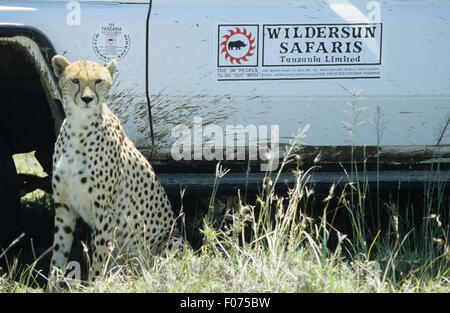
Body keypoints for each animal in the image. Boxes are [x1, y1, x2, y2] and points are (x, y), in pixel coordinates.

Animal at [49, 55, 188, 286]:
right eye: (75, 80)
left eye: (98, 81)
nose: (87, 99)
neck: (79, 125)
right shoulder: (64, 207)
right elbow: (58, 254)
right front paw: (52, 285)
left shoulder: (105, 211)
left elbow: (99, 256)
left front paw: (96, 285)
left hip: (172, 242)